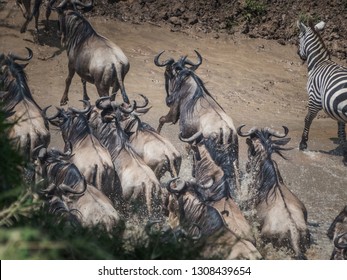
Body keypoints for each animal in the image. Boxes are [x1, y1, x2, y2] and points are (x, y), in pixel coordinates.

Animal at [296, 21, 347, 165]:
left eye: (298, 39)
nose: (298, 53)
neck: (318, 63)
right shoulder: (337, 109)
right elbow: (341, 132)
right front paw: (344, 150)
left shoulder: (314, 99)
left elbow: (308, 119)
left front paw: (303, 144)